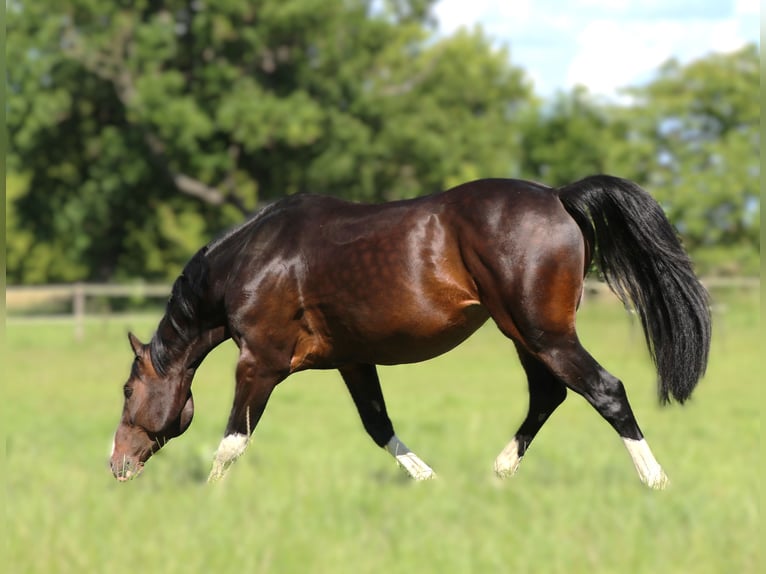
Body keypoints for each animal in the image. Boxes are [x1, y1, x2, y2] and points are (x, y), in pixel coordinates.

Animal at [109, 177, 712, 490]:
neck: (252, 262)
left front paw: (210, 498)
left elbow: (232, 442)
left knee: (606, 390)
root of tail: (559, 196)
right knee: (549, 395)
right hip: (524, 336)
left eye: (126, 390)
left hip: (544, 334)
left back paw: (655, 481)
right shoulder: (353, 360)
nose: (117, 465)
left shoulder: (259, 362)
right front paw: (430, 483)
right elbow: (379, 425)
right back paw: (499, 472)